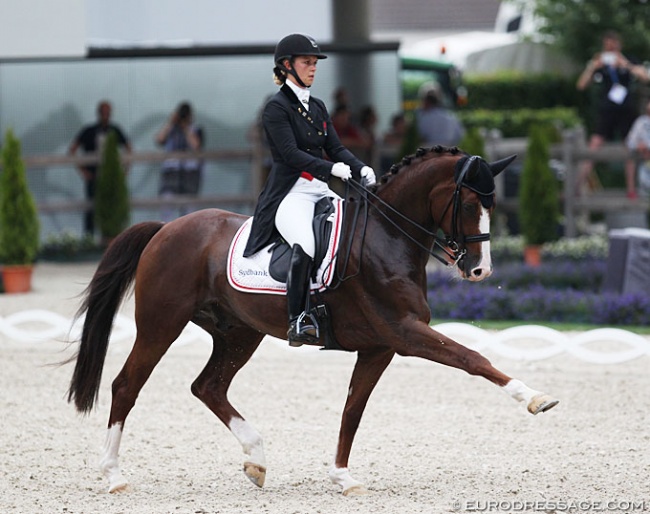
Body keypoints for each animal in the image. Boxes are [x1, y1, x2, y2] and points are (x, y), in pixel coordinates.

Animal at [69, 143, 556, 492]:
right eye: (470, 203)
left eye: (492, 205)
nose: (480, 270)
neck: (387, 237)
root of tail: (166, 228)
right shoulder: (406, 334)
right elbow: (472, 358)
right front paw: (534, 397)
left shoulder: (380, 347)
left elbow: (353, 409)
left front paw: (342, 476)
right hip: (161, 325)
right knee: (127, 386)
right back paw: (113, 475)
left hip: (239, 333)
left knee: (208, 386)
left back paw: (257, 459)